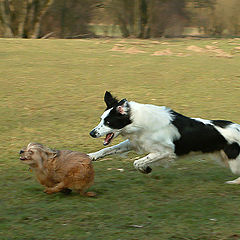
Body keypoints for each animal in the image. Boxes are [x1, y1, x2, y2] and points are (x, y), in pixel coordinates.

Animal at [88, 91, 240, 184]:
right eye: (101, 119)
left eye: (108, 122)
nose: (92, 133)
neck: (138, 121)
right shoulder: (136, 142)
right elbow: (109, 149)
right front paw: (92, 156)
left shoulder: (165, 151)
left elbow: (137, 162)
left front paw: (146, 169)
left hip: (234, 163)